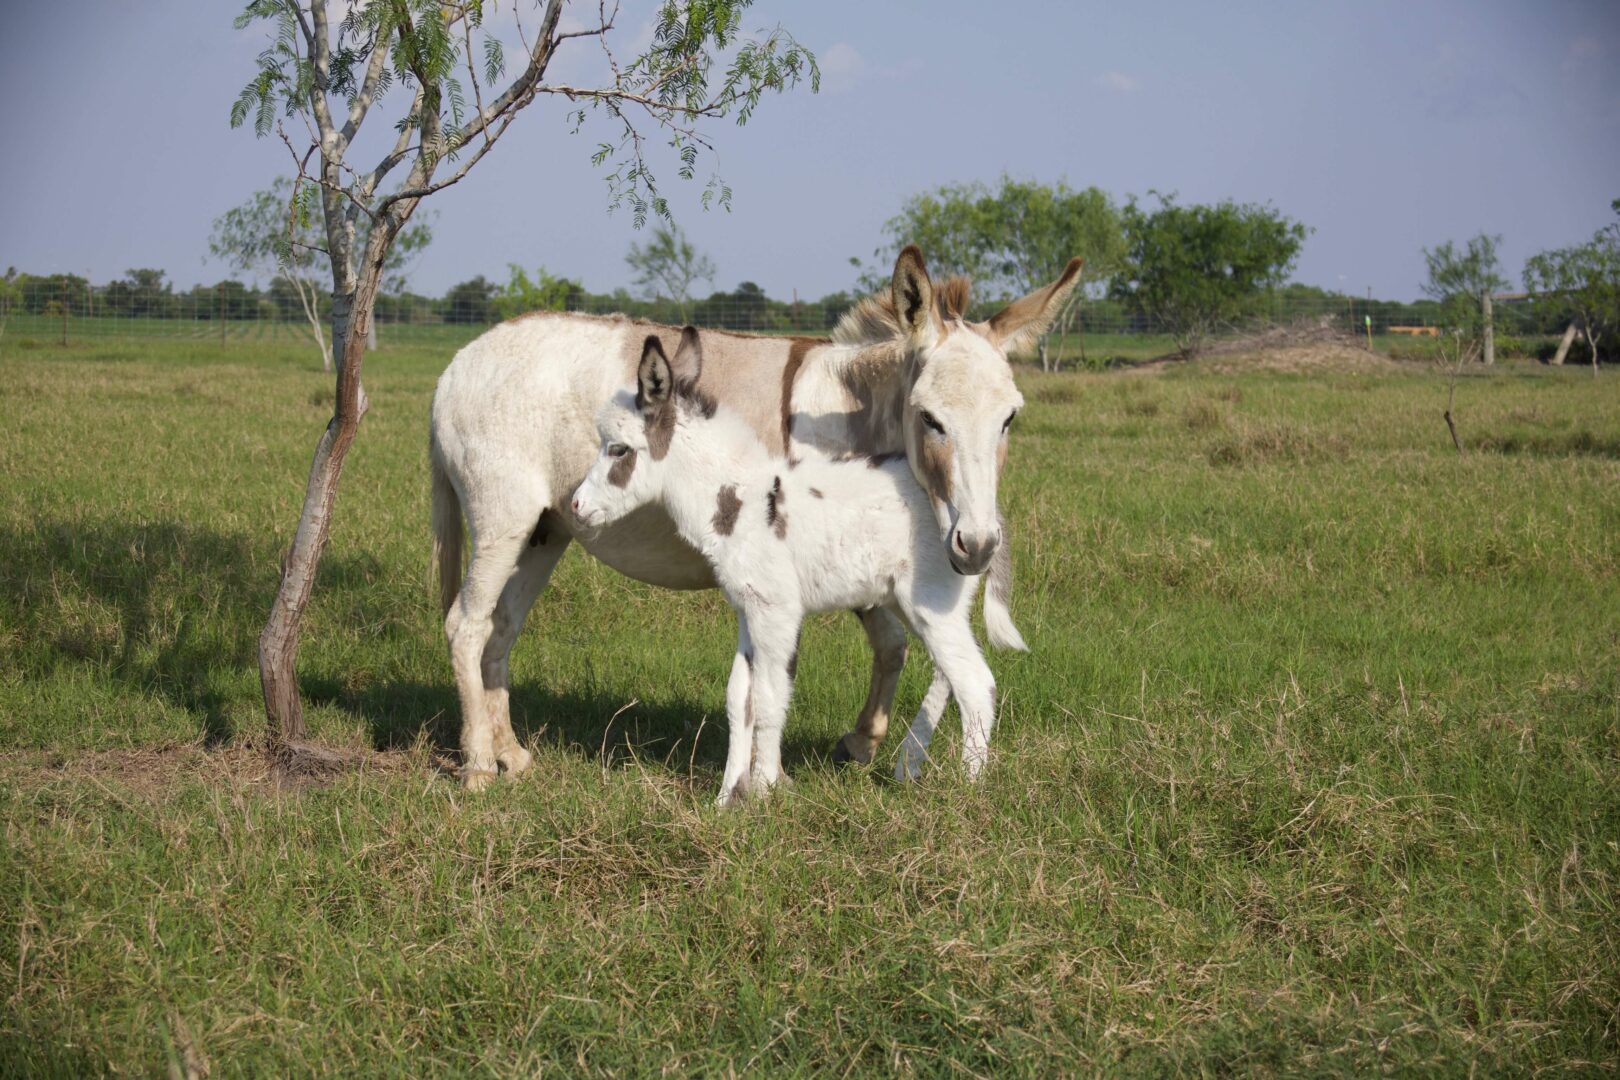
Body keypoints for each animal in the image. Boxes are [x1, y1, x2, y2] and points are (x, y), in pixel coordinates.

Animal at [573, 330, 1023, 803]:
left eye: (618, 449)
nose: (576, 507)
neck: (737, 498)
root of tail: (979, 517)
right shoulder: (748, 608)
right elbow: (740, 697)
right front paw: (727, 797)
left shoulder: (776, 611)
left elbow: (770, 697)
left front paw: (764, 791)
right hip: (920, 603)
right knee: (949, 673)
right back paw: (910, 765)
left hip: (929, 602)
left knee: (975, 683)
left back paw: (968, 790)